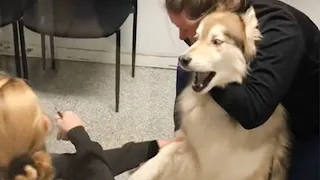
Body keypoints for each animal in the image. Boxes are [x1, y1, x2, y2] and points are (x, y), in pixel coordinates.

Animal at [129, 5, 292, 180]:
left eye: (217, 41)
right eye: (196, 37)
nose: (182, 59)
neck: (216, 109)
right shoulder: (189, 145)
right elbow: (164, 153)